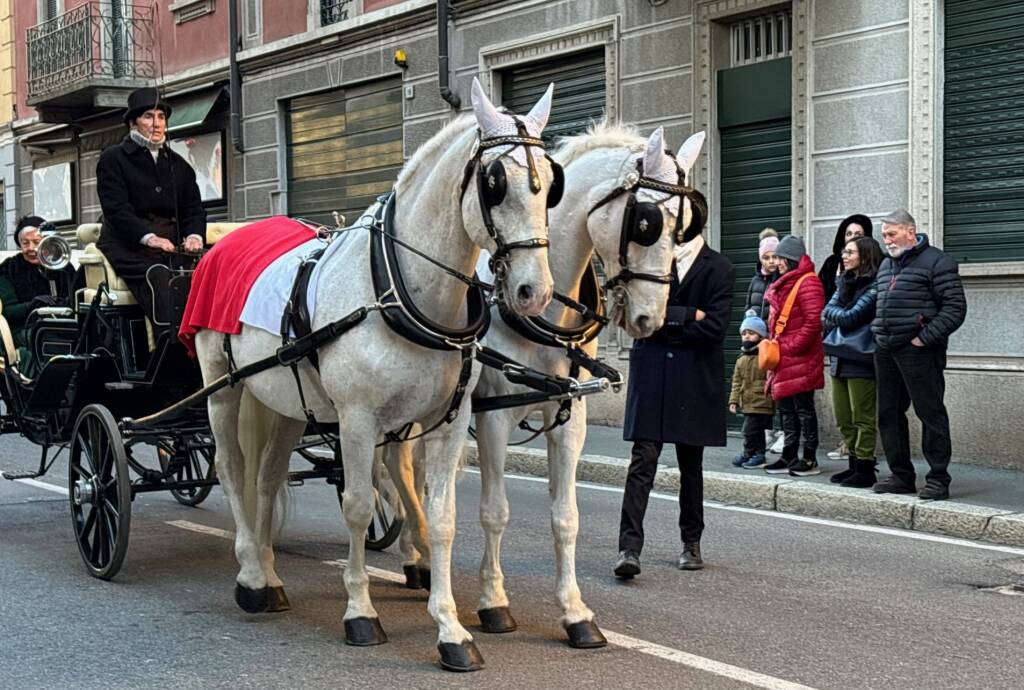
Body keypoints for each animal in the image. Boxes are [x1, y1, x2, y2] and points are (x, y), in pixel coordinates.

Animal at [192, 77, 561, 667]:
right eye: (495, 182)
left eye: (551, 184)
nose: (535, 292)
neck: (400, 287)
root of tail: (224, 239)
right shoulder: (358, 420)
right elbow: (360, 506)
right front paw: (360, 611)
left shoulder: (447, 423)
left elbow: (441, 516)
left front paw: (450, 628)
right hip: (221, 387)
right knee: (230, 467)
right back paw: (250, 572)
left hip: (283, 400)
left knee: (267, 477)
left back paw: (270, 575)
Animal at [387, 122, 708, 647]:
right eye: (644, 223)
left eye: (687, 226)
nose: (650, 318)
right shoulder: (493, 416)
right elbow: (495, 510)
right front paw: (493, 602)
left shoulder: (568, 415)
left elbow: (565, 517)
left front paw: (575, 612)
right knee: (398, 469)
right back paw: (418, 555)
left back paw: (417, 555)